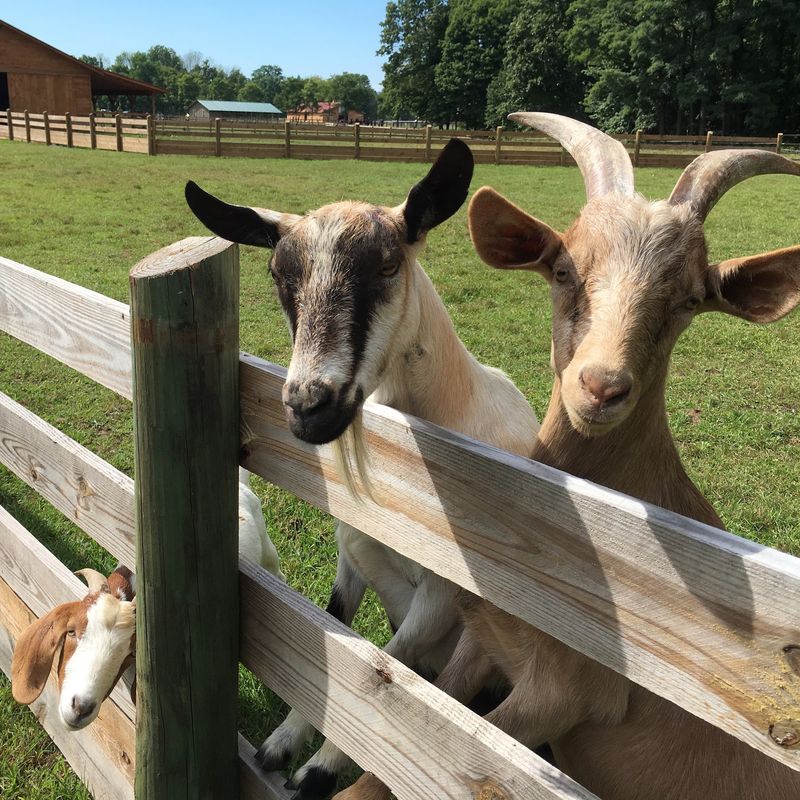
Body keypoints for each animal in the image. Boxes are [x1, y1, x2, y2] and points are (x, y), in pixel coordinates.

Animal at [184, 138, 540, 799]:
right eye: (279, 275)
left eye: (387, 266)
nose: (307, 405)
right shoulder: (352, 555)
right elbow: (336, 634)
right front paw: (282, 743)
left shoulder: (447, 596)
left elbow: (389, 667)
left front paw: (320, 767)